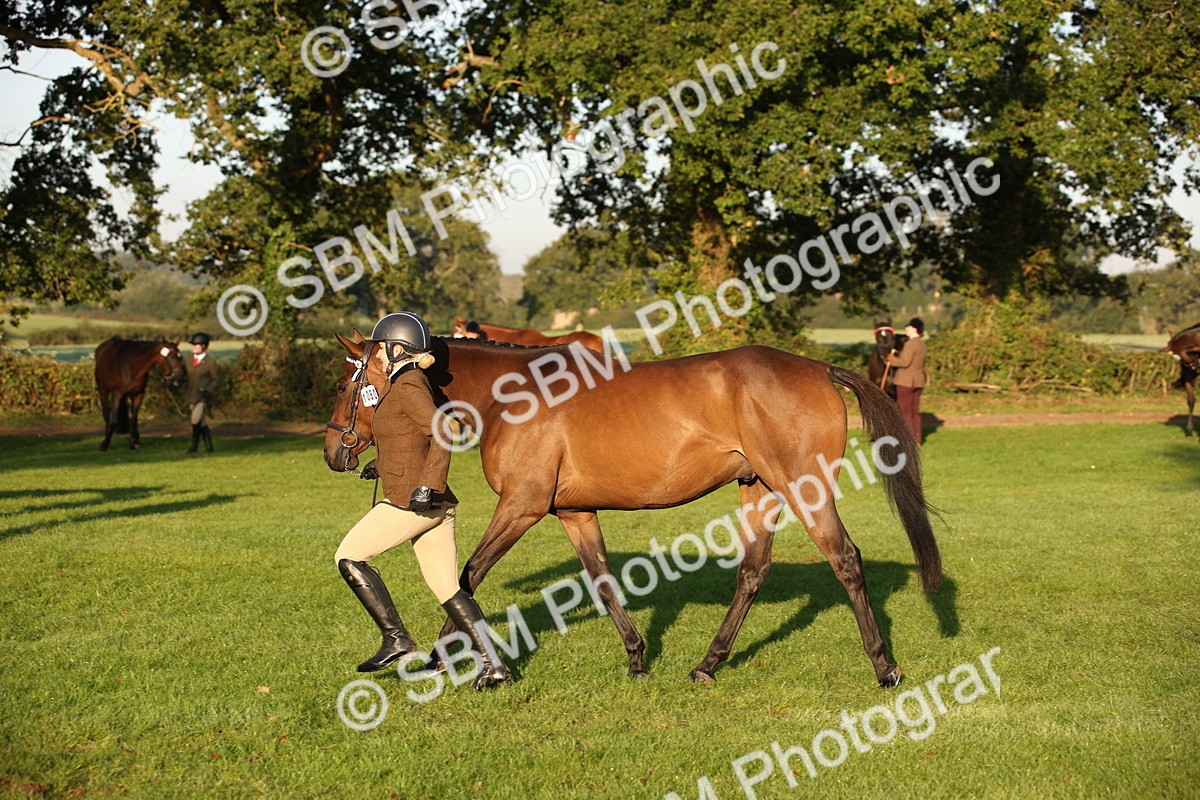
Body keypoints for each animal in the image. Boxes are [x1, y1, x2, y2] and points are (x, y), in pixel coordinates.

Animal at [323, 333, 942, 688]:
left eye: (348, 386)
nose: (333, 452)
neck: (513, 395)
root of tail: (817, 369)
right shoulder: (573, 513)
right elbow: (600, 581)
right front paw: (638, 658)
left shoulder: (521, 506)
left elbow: (467, 577)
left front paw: (441, 657)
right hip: (759, 490)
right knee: (752, 571)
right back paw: (707, 665)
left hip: (803, 489)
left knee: (845, 559)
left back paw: (884, 667)